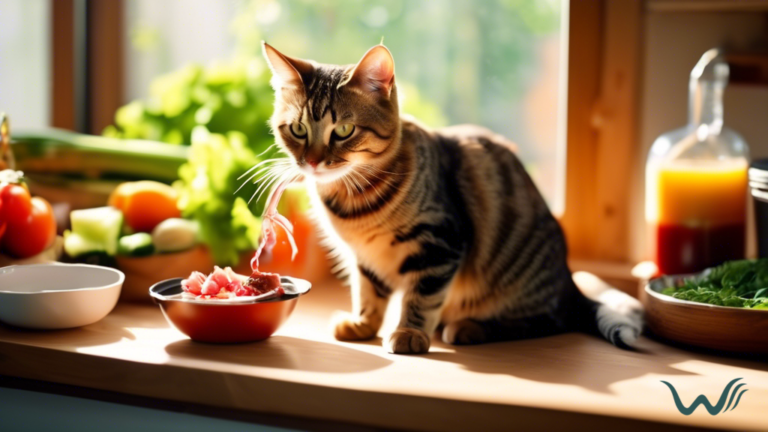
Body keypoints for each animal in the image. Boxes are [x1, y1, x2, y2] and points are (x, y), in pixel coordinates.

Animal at [260, 43, 644, 354]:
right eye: (298, 129)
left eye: (343, 131)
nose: (312, 161)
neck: (353, 199)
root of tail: (570, 282)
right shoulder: (365, 258)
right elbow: (369, 293)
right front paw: (364, 324)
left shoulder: (439, 243)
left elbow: (421, 295)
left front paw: (409, 333)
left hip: (522, 283)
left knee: (545, 321)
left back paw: (467, 327)